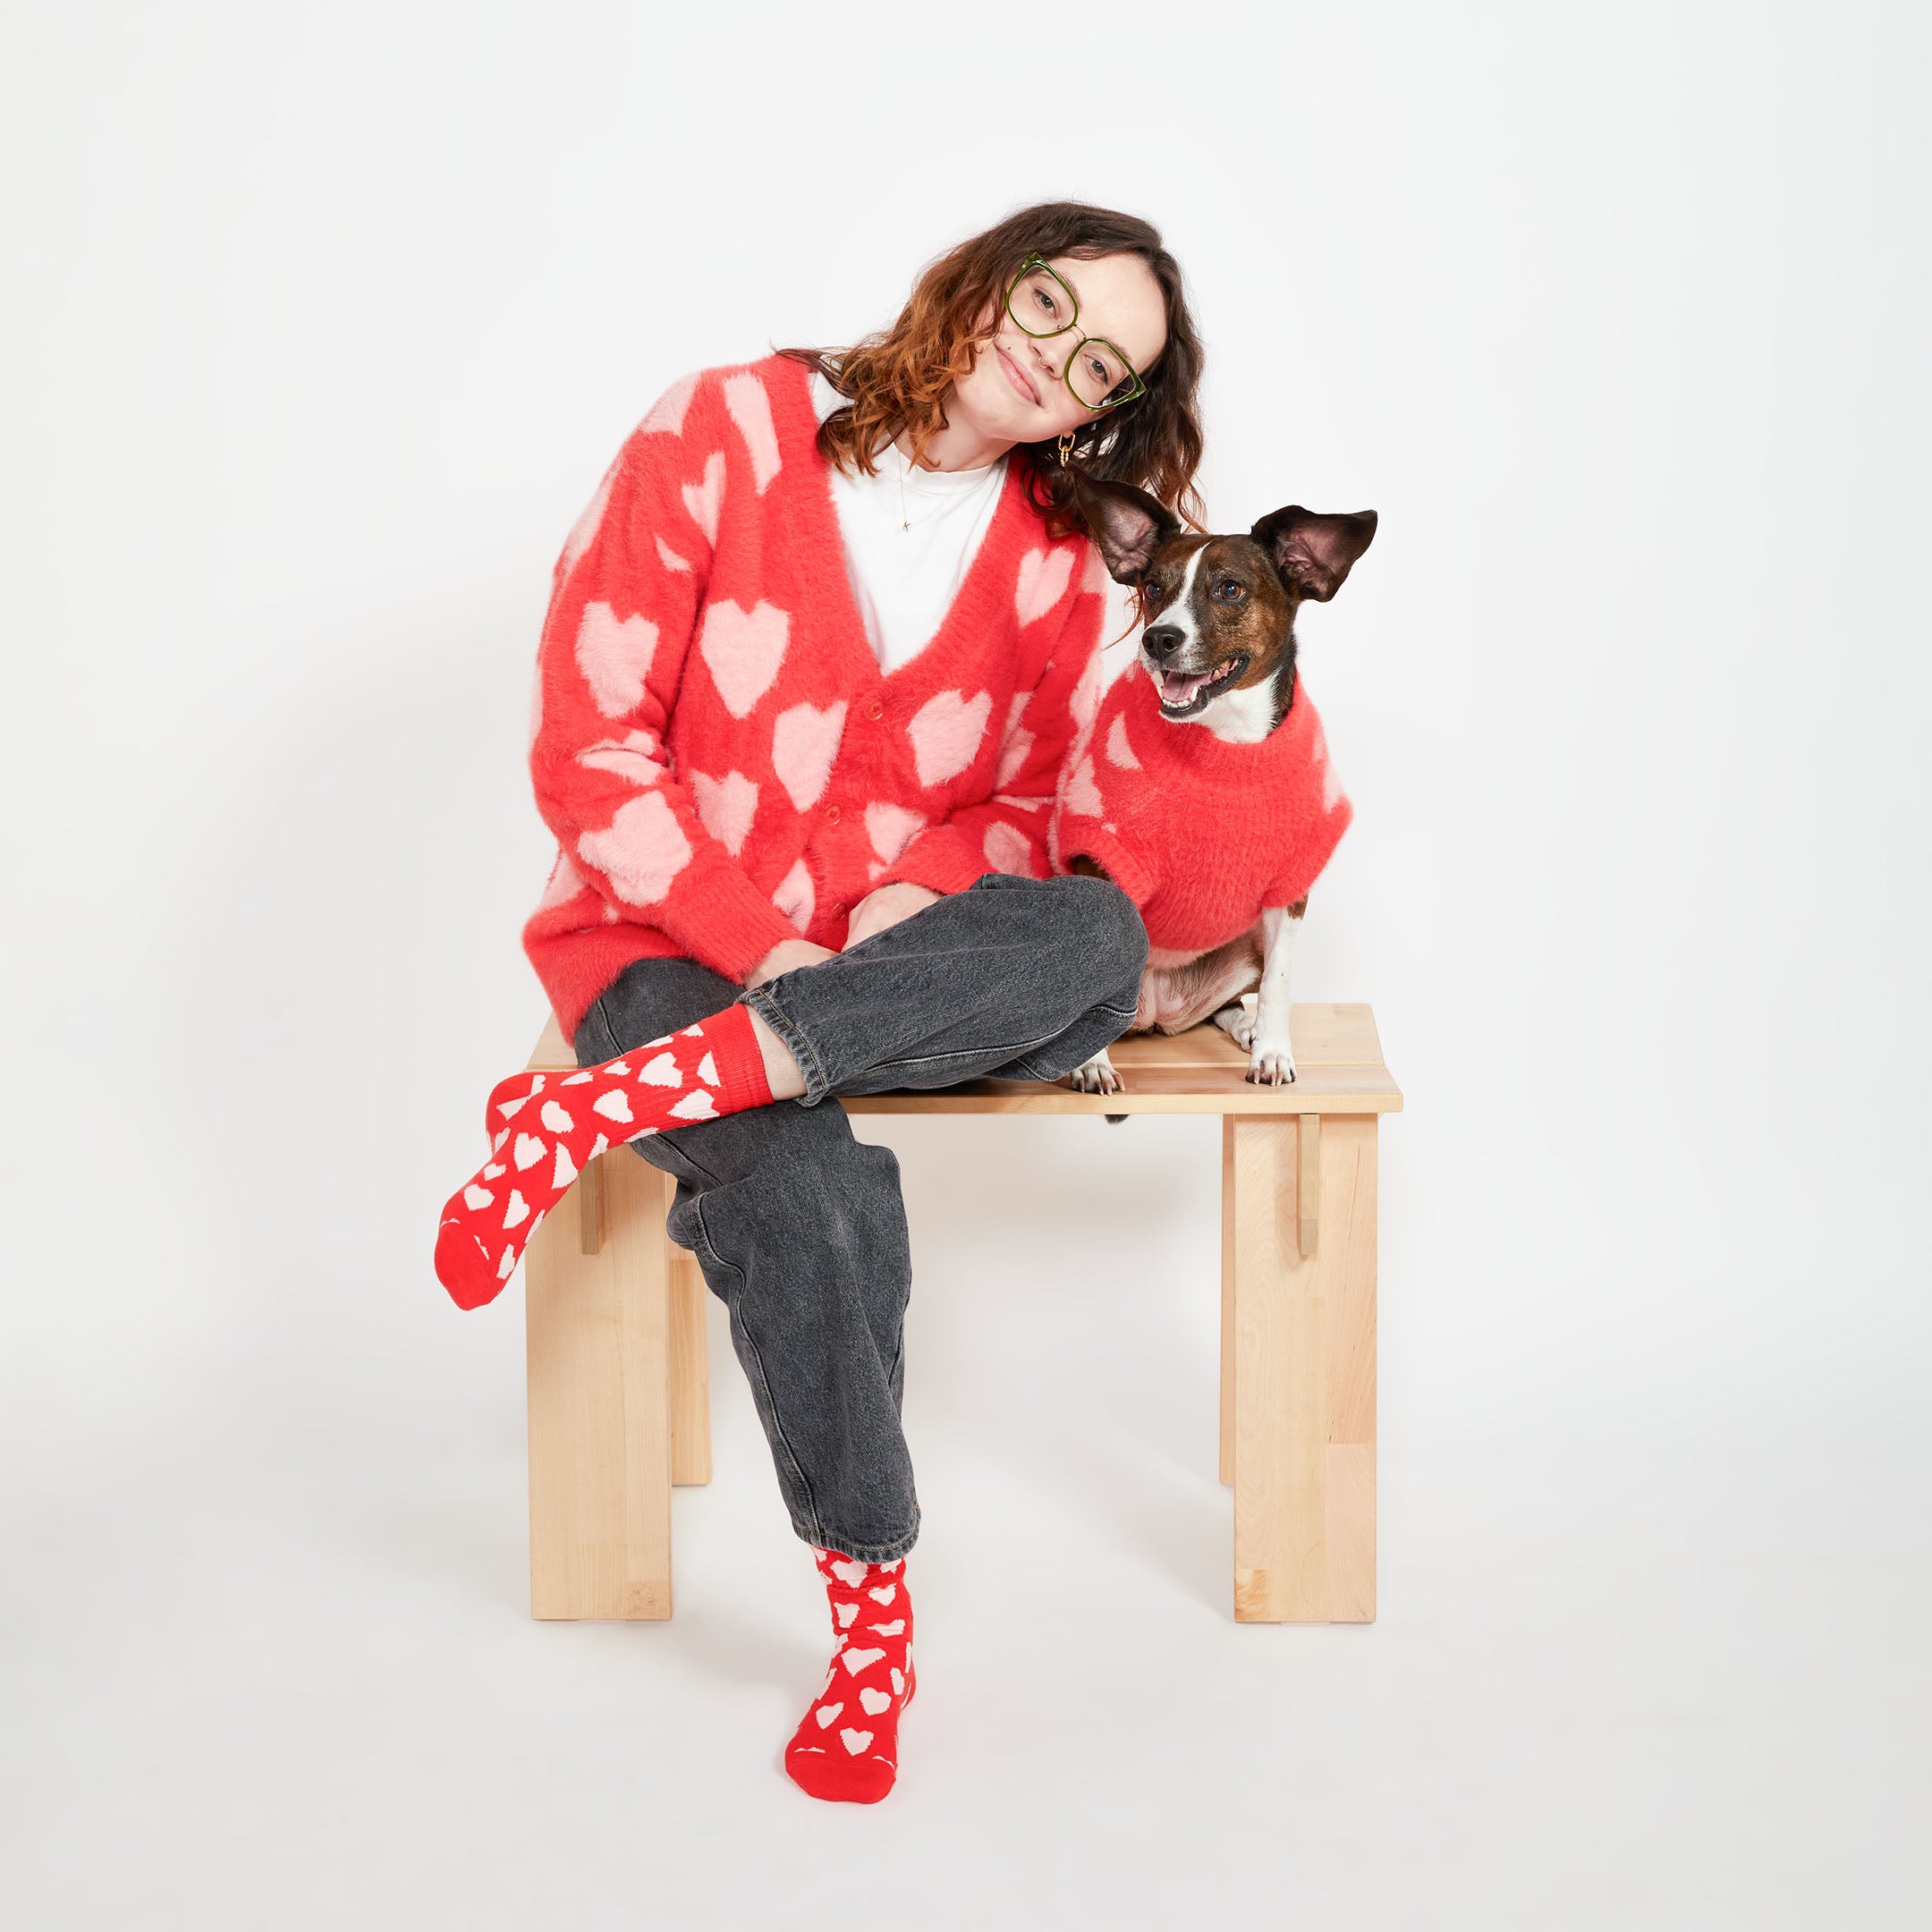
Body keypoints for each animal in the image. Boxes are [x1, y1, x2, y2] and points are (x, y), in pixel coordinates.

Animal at [1051, 473, 1383, 1089]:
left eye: (1229, 589)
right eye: (1153, 588)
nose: (1159, 638)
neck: (1227, 742)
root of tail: (1157, 1012)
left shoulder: (1289, 889)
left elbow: (1279, 985)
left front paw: (1272, 1052)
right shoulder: (1105, 865)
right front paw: (1091, 1063)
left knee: (1228, 1005)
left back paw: (1246, 1028)